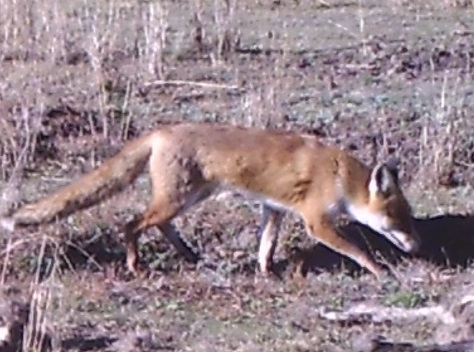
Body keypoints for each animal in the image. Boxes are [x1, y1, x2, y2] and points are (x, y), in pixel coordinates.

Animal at [1, 122, 420, 280]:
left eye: (408, 219)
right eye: (398, 219)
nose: (416, 247)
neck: (338, 176)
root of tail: (161, 130)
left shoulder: (274, 209)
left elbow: (266, 246)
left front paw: (266, 273)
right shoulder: (315, 221)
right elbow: (357, 250)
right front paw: (380, 271)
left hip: (187, 199)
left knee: (160, 226)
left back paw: (189, 256)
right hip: (177, 199)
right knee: (130, 224)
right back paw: (135, 263)